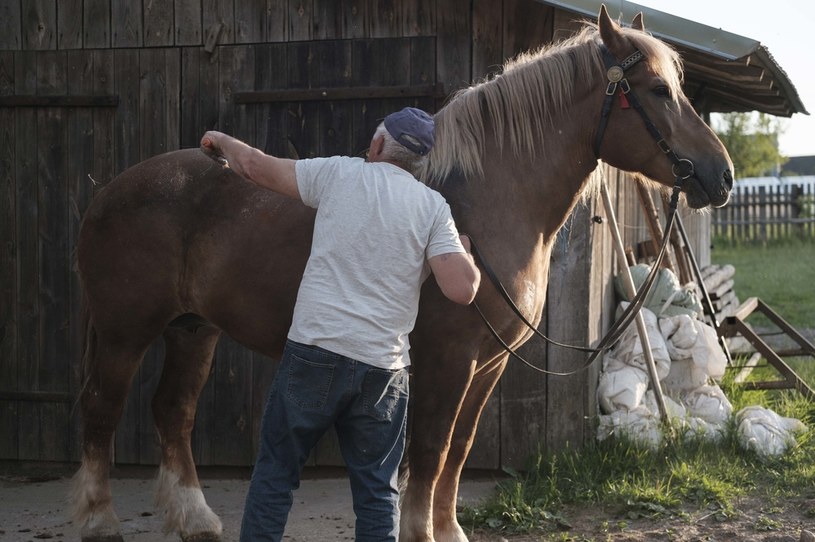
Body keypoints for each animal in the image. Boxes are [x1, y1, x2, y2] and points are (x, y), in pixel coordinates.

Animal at [70, 8, 732, 542]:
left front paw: (450, 529)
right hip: (127, 332)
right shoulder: (448, 359)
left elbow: (459, 452)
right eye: (657, 90)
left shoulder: (488, 364)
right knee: (101, 412)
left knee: (173, 413)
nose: (720, 176)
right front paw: (421, 531)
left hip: (192, 329)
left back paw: (196, 519)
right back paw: (100, 521)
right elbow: (432, 451)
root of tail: (111, 190)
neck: (480, 207)